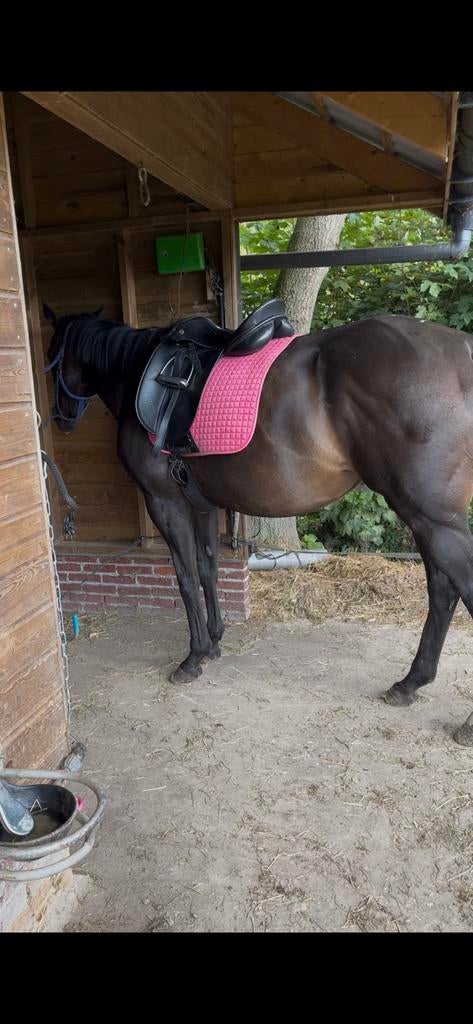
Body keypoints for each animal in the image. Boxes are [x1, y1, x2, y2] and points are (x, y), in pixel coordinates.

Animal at [42, 304, 473, 745]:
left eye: (51, 353)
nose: (59, 418)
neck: (137, 373)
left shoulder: (164, 502)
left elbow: (185, 577)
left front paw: (193, 657)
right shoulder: (202, 505)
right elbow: (208, 568)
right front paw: (214, 641)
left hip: (431, 518)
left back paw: (463, 723)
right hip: (426, 519)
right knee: (442, 592)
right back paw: (409, 683)